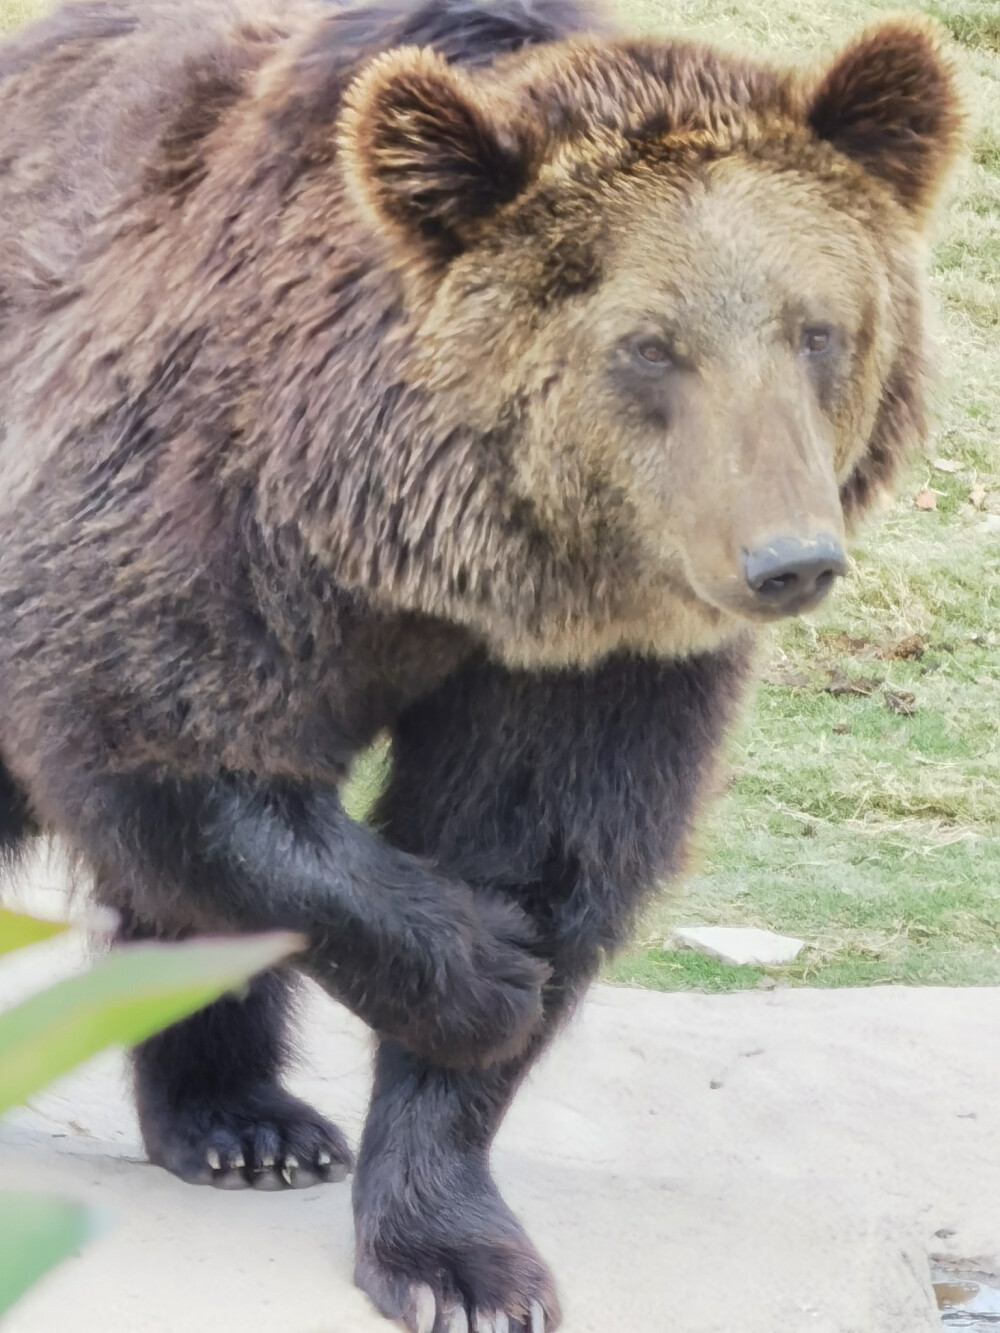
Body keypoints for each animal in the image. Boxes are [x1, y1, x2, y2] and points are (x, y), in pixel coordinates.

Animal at [0, 0, 965, 1327]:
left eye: (817, 329)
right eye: (649, 347)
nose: (788, 559)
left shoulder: (596, 666)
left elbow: (539, 839)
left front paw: (459, 1257)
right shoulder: (192, 498)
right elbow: (165, 741)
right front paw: (484, 970)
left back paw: (245, 1122)